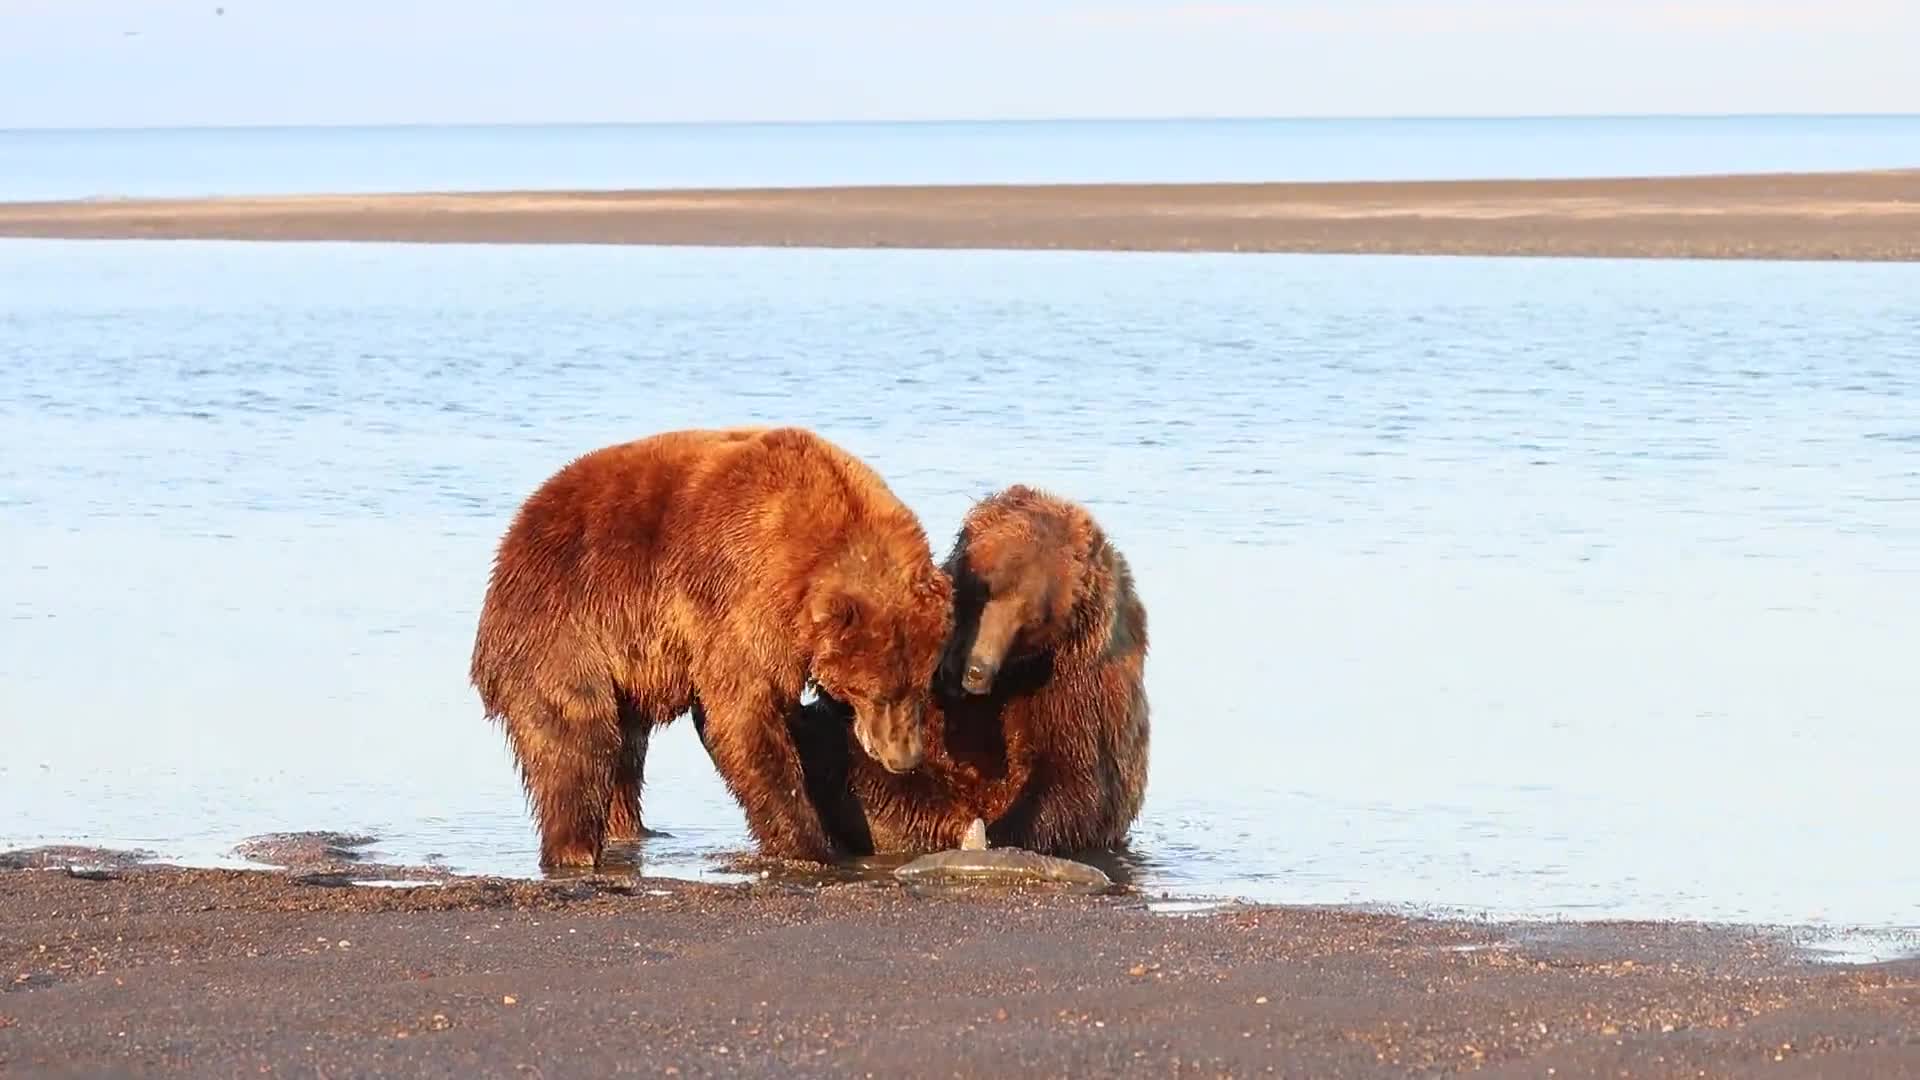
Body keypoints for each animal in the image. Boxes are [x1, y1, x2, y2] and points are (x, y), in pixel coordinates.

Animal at [468, 426, 954, 870]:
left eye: (920, 687)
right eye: (875, 692)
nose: (904, 757)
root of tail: (511, 541)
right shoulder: (736, 593)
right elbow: (742, 715)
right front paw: (811, 846)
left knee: (626, 749)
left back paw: (636, 829)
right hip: (566, 627)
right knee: (579, 739)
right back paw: (575, 848)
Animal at [777, 484, 1150, 857]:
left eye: (1032, 619)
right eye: (987, 590)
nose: (976, 670)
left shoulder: (1081, 676)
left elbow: (1074, 777)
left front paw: (998, 834)